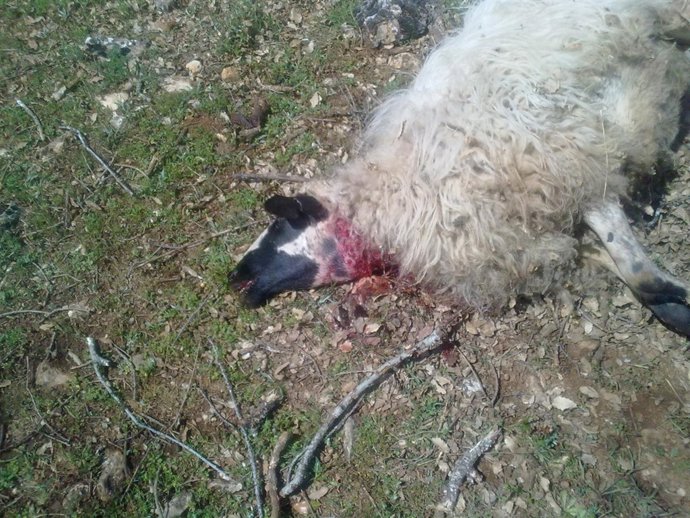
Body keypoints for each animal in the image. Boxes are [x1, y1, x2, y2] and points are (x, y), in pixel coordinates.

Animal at [231, 0, 690, 337]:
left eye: (279, 224)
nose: (234, 276)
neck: (402, 188)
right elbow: (616, 264)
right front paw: (672, 304)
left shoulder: (577, 162)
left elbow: (636, 269)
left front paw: (675, 297)